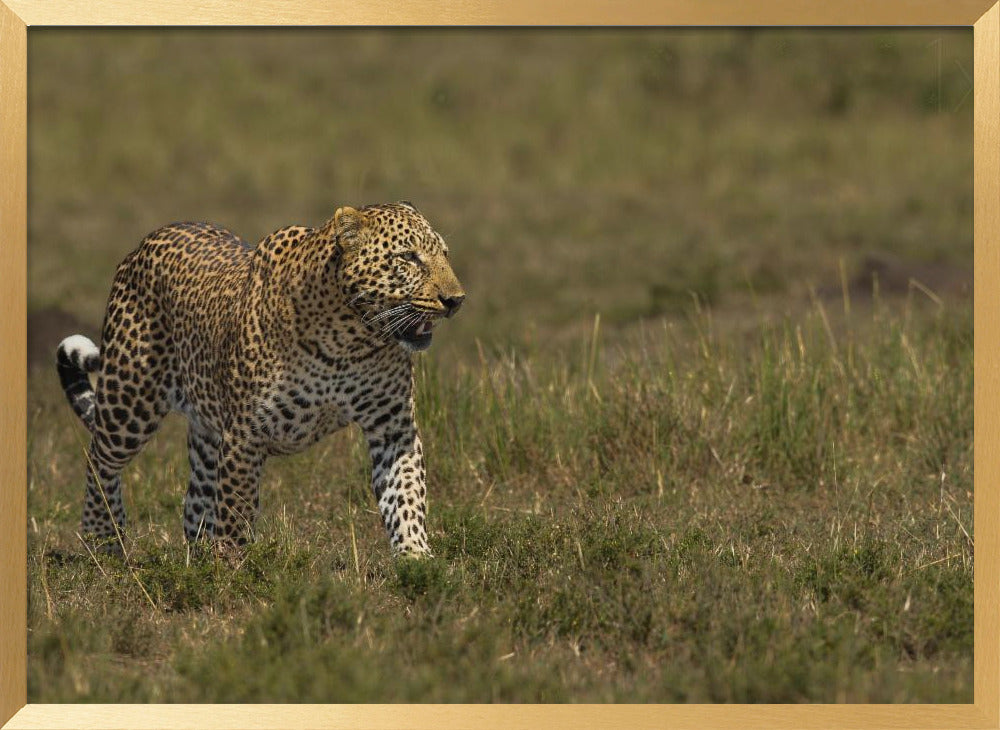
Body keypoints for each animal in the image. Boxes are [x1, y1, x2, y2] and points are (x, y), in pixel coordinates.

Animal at [56, 202, 465, 559]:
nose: (455, 300)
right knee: (99, 459)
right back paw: (104, 541)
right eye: (408, 257)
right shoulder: (245, 435)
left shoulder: (393, 427)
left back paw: (197, 558)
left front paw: (415, 558)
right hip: (130, 400)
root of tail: (143, 243)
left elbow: (406, 494)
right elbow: (236, 511)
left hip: (206, 428)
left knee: (194, 502)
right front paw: (234, 571)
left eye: (445, 254)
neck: (350, 338)